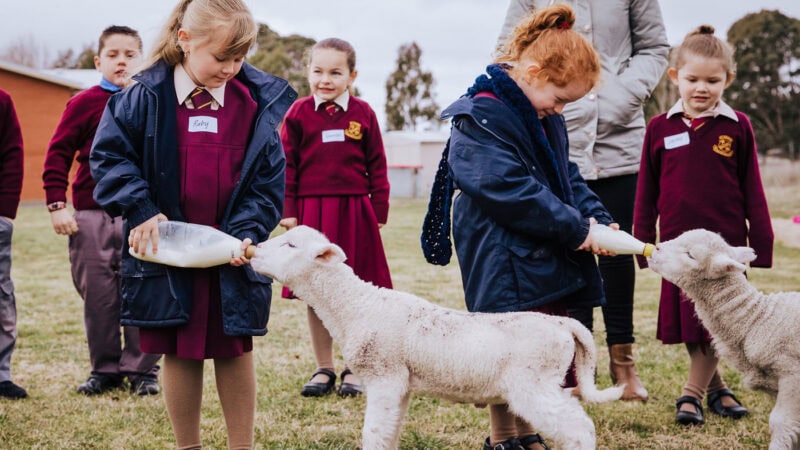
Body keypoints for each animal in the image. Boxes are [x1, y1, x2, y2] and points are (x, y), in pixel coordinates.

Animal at [253, 227, 620, 448]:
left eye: (290, 245)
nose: (253, 251)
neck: (357, 305)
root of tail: (561, 324)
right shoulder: (399, 385)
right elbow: (388, 433)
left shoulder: (384, 376)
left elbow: (372, 433)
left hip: (535, 385)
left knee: (579, 429)